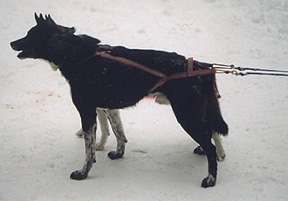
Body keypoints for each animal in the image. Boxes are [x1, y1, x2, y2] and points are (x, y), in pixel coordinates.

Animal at [10, 13, 227, 187]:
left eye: (29, 35)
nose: (12, 43)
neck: (76, 55)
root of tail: (201, 67)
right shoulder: (109, 108)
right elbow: (118, 133)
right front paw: (118, 153)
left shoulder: (87, 112)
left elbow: (89, 150)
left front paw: (83, 173)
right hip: (193, 113)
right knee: (211, 132)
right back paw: (209, 151)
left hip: (186, 116)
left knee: (211, 144)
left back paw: (211, 178)